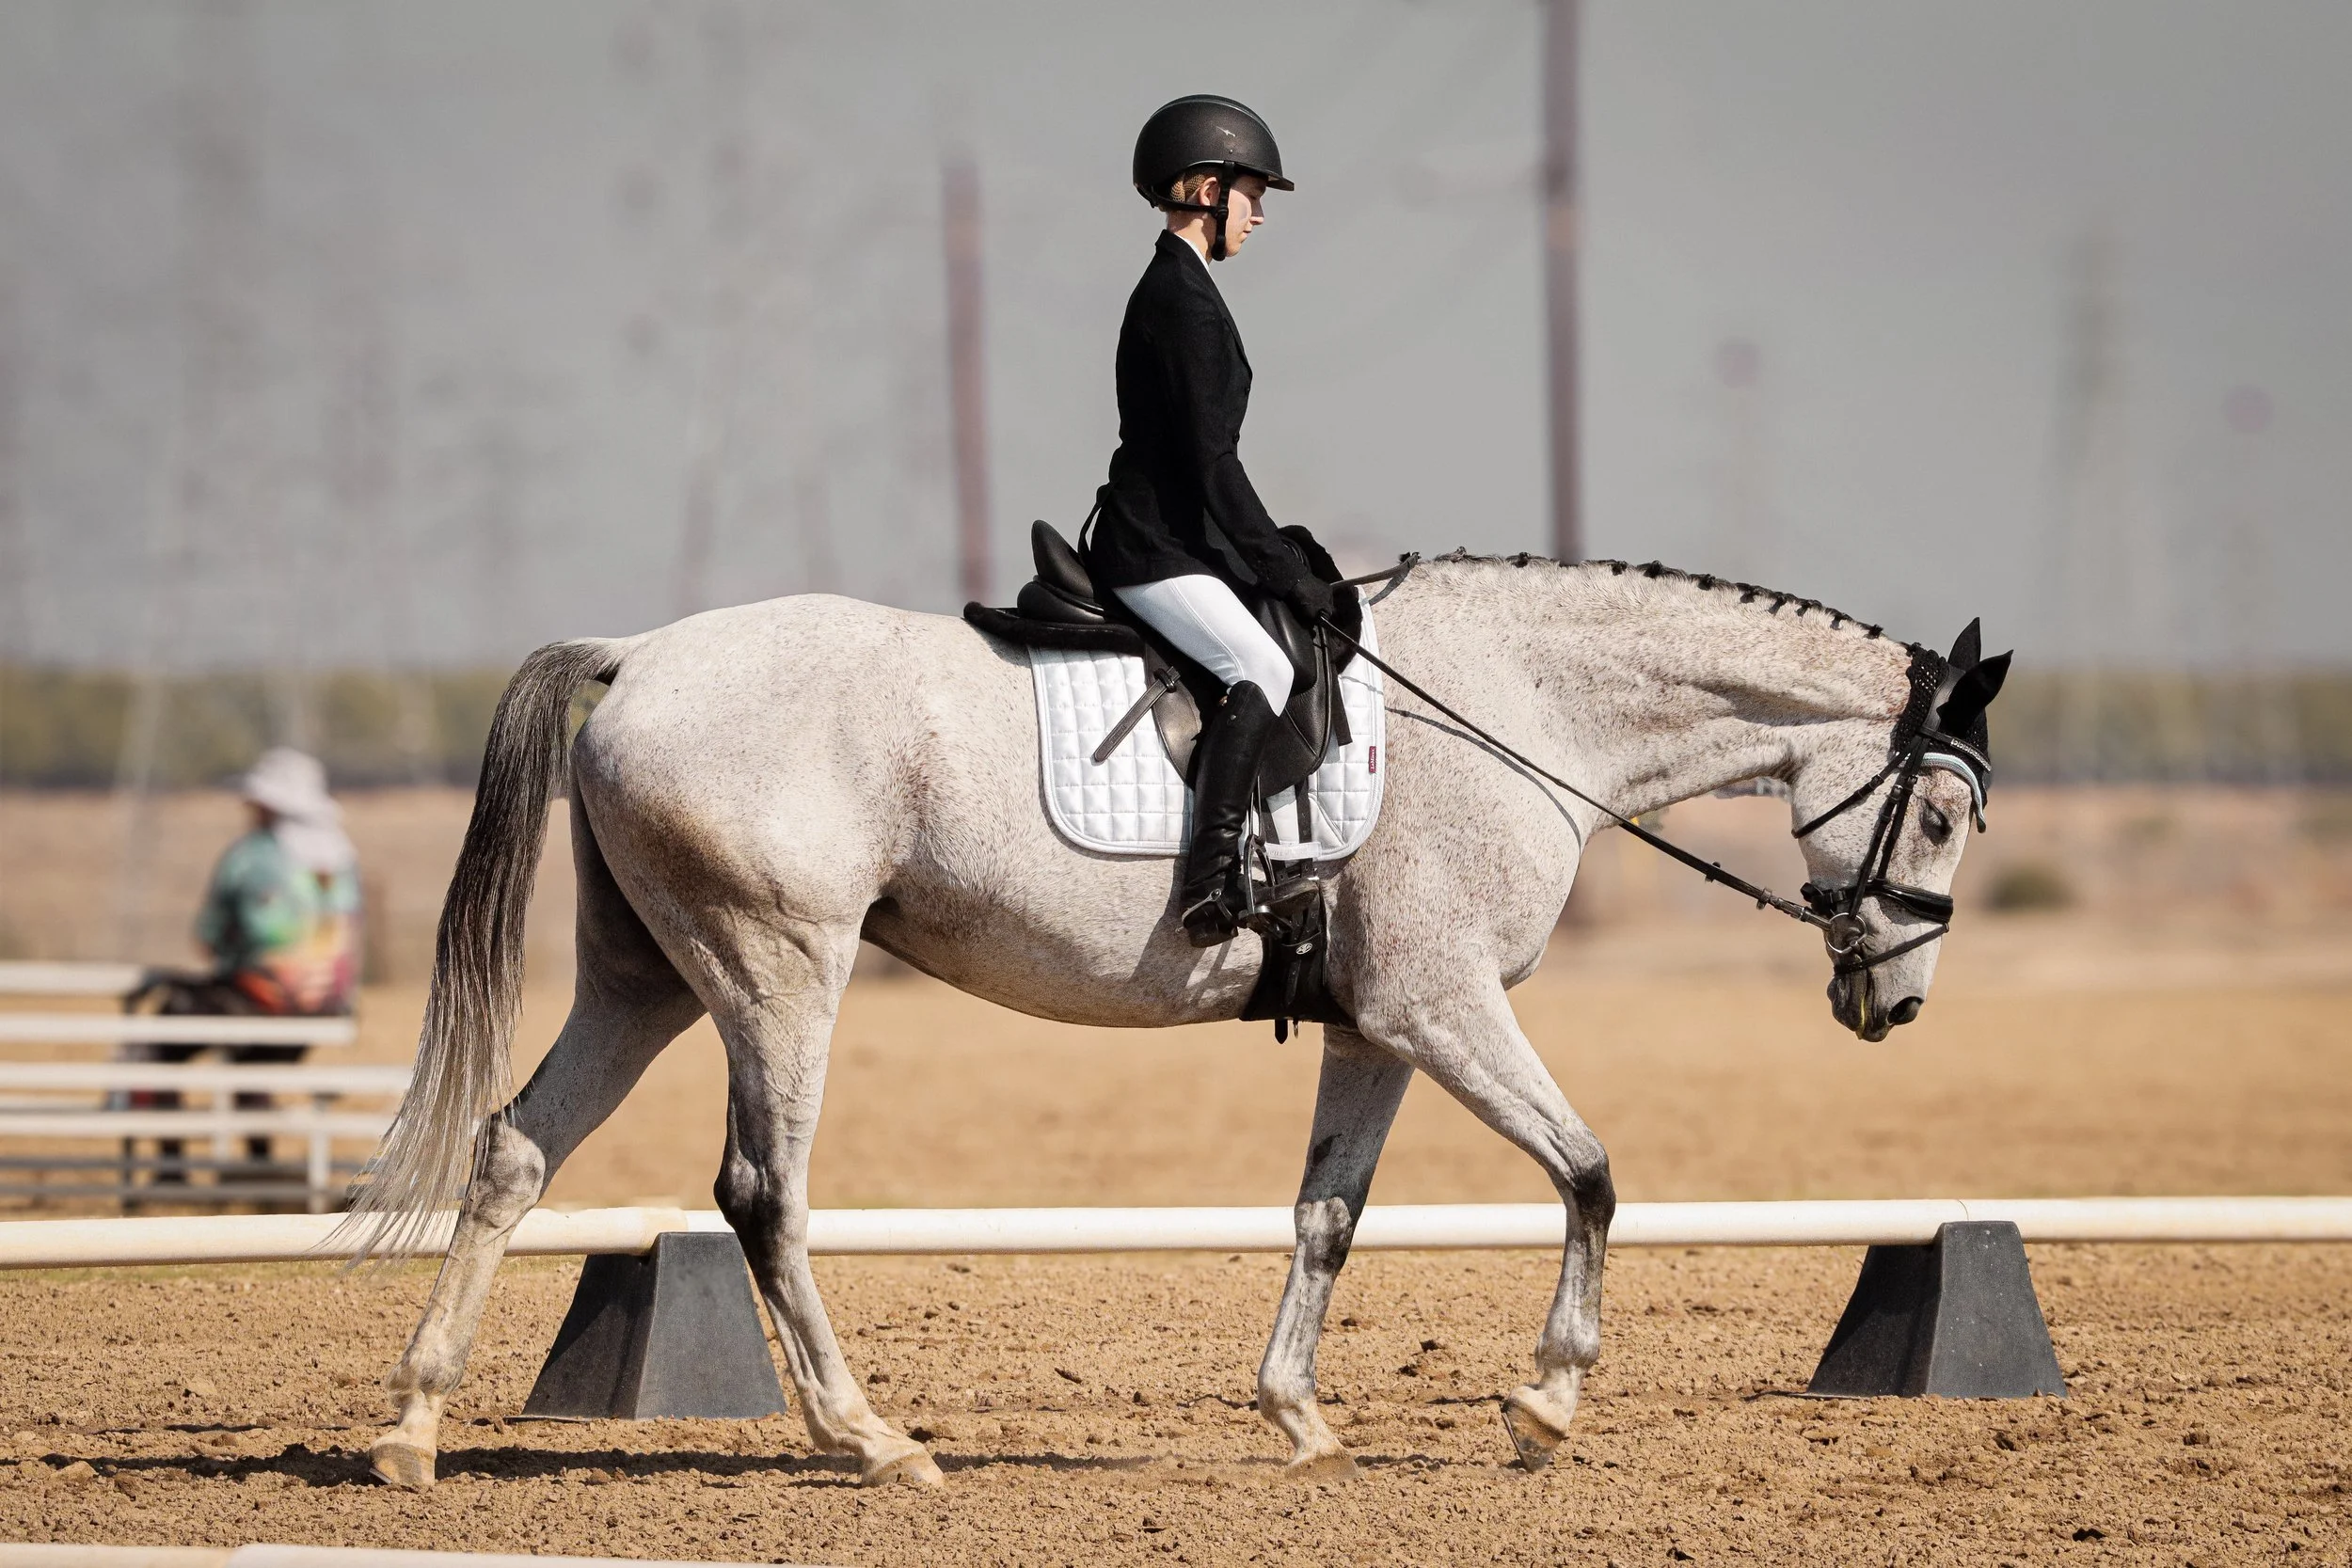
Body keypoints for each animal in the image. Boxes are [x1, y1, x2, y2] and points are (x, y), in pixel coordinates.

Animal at [346, 553, 2010, 1490]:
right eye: (1937, 814)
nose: (1897, 1000)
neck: (1523, 702)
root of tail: (640, 653)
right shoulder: (1443, 1001)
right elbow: (1592, 1169)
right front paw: (1544, 1399)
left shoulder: (1374, 1025)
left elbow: (1329, 1212)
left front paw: (1299, 1418)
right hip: (776, 969)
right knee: (763, 1190)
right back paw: (871, 1438)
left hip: (644, 978)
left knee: (515, 1150)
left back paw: (414, 1430)